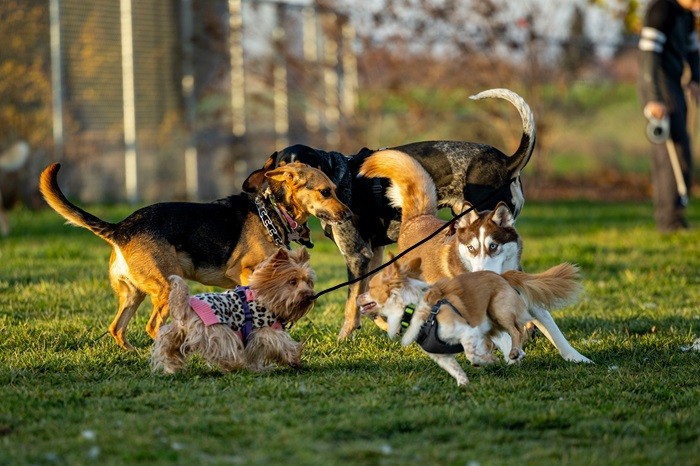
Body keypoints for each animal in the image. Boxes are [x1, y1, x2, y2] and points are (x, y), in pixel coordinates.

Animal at [39, 161, 351, 350]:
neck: (274, 212)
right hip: (168, 287)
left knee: (117, 327)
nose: (349, 214)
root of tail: (120, 228)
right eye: (325, 192)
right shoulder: (245, 273)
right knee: (153, 326)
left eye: (336, 191)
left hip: (133, 293)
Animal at [151, 247, 315, 373]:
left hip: (178, 332)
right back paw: (235, 365)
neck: (266, 298)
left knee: (169, 346)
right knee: (226, 351)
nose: (310, 295)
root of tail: (186, 305)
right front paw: (294, 358)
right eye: (292, 282)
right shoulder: (263, 331)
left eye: (308, 282)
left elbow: (254, 354)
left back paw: (172, 367)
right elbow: (280, 342)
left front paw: (256, 368)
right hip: (217, 331)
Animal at [243, 88, 536, 339]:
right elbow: (365, 298)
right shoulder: (374, 253)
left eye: (307, 169)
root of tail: (507, 162)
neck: (340, 177)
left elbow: (351, 301)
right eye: (281, 169)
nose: (285, 193)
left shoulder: (357, 256)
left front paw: (345, 337)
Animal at [356, 256, 582, 386]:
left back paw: (514, 352)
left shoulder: (467, 331)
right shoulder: (440, 355)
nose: (357, 297)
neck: (413, 309)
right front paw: (463, 383)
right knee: (499, 337)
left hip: (498, 309)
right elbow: (455, 368)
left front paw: (489, 361)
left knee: (516, 330)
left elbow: (470, 353)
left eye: (370, 288)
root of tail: (503, 275)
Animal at [360, 148, 592, 363]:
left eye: (493, 246)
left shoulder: (524, 294)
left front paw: (577, 358)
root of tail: (419, 218)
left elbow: (554, 330)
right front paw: (511, 354)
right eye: (471, 249)